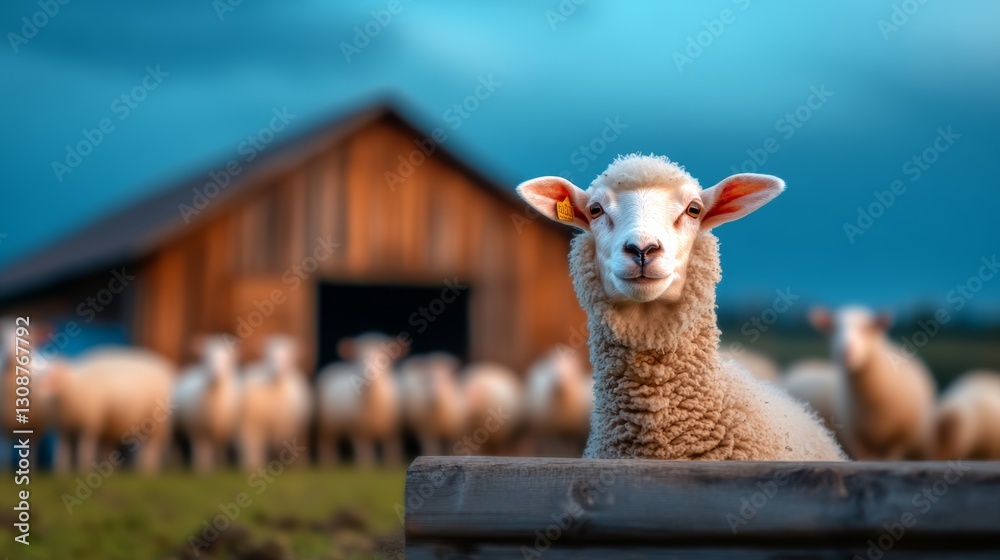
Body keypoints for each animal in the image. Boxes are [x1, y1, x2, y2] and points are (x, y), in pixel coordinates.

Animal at [45, 346, 175, 472]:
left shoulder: (89, 424)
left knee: (151, 447)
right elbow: (62, 452)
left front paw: (84, 469)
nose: (43, 395)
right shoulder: (63, 428)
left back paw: (147, 470)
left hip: (156, 424)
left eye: (52, 377)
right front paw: (61, 472)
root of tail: (164, 369)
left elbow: (85, 449)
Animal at [173, 336, 241, 472]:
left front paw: (221, 468)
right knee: (180, 447)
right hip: (179, 429)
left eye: (227, 360)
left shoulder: (223, 433)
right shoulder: (198, 432)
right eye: (206, 358)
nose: (215, 375)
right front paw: (201, 470)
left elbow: (220, 452)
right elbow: (201, 452)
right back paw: (178, 466)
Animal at [237, 335, 312, 471]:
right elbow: (252, 447)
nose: (282, 369)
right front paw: (252, 466)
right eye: (268, 354)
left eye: (289, 354)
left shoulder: (286, 428)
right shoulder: (251, 426)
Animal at [316, 333, 407, 466]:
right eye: (357, 356)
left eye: (385, 355)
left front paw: (392, 465)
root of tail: (336, 365)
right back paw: (329, 464)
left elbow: (393, 451)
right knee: (326, 443)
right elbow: (365, 455)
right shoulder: (359, 431)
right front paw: (367, 468)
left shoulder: (394, 430)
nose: (368, 369)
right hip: (326, 424)